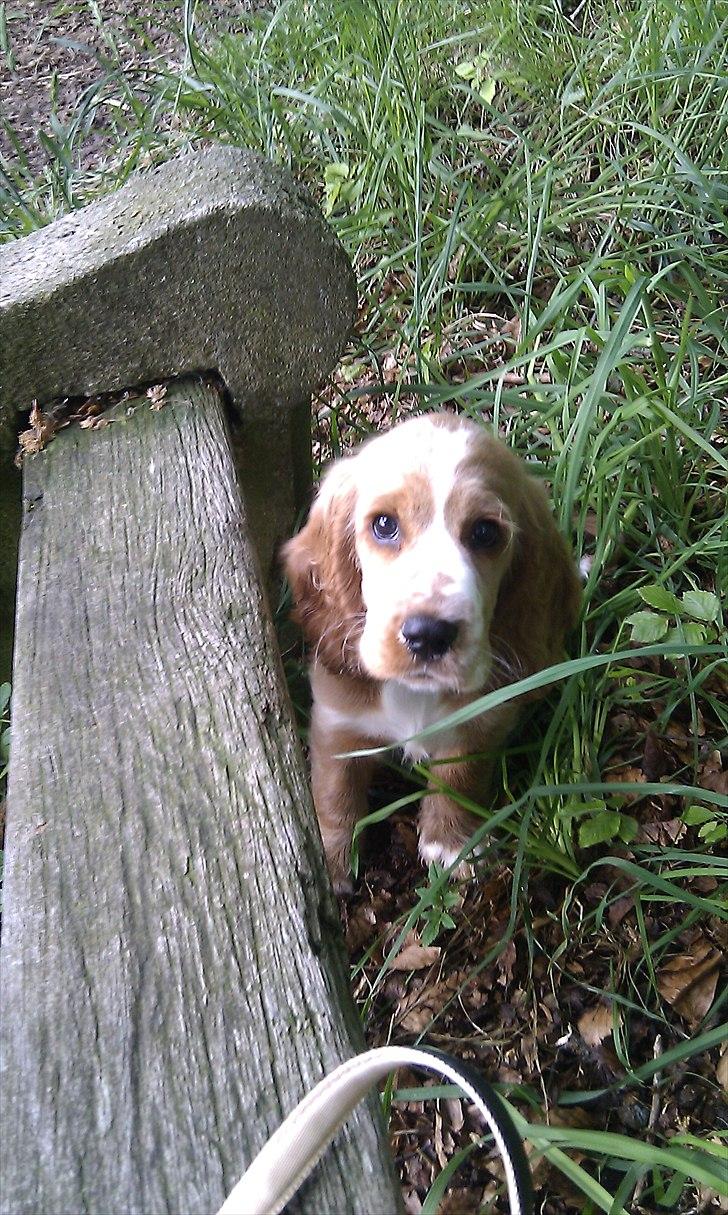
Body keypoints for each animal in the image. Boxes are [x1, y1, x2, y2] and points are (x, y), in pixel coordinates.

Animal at [284, 415, 580, 894]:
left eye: (485, 532)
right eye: (384, 525)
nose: (427, 635)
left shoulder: (480, 721)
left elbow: (459, 777)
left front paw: (452, 842)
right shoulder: (336, 721)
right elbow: (334, 792)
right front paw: (330, 861)